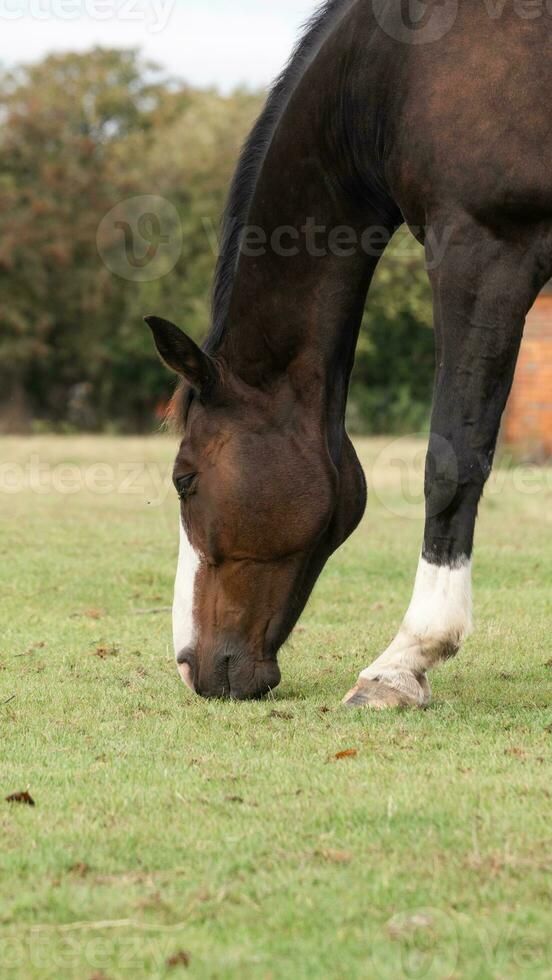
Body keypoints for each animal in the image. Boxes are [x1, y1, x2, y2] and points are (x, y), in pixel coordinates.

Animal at [146, 0, 552, 704]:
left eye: (184, 480)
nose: (190, 666)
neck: (396, 68)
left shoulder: (484, 248)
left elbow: (452, 460)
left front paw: (404, 660)